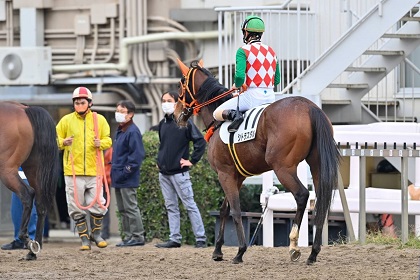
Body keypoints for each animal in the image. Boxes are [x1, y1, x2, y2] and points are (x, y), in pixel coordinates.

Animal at [0, 101, 59, 260]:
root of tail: (24, 109)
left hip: (7, 170)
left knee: (27, 194)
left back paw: (27, 240)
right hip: (33, 169)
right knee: (40, 203)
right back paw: (32, 252)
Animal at [174, 59, 342, 264]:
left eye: (181, 83)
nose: (175, 114)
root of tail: (310, 107)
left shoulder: (224, 173)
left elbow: (235, 210)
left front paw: (239, 251)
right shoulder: (236, 176)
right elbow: (224, 210)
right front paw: (218, 250)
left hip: (283, 168)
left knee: (302, 195)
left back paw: (294, 246)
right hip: (317, 166)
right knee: (320, 202)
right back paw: (313, 252)